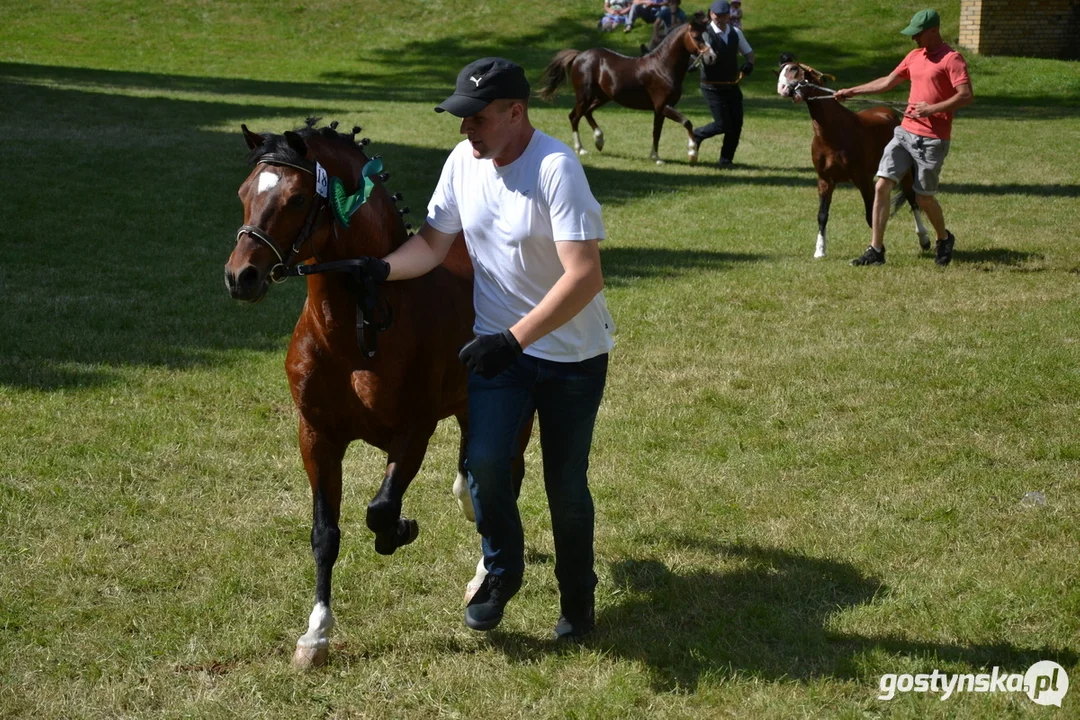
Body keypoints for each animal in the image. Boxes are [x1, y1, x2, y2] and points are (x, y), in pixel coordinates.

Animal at [225, 119, 529, 669]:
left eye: (297, 198)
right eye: (244, 193)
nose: (241, 277)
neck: (358, 328)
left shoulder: (413, 432)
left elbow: (381, 509)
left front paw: (400, 531)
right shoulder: (317, 437)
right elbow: (325, 535)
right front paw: (315, 636)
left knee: (505, 478)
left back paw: (482, 576)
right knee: (473, 475)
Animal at [533, 14, 717, 164]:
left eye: (709, 36)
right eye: (696, 36)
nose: (711, 57)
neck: (662, 66)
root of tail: (580, 55)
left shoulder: (660, 110)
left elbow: (656, 132)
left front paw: (655, 157)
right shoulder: (663, 106)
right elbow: (687, 122)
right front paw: (692, 152)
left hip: (602, 97)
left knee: (587, 113)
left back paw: (599, 141)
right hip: (584, 96)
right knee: (574, 117)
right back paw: (581, 149)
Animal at [773, 61, 933, 259]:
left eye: (794, 69)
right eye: (780, 70)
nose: (782, 88)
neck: (834, 135)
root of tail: (889, 113)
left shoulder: (863, 180)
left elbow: (870, 215)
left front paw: (877, 251)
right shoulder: (825, 181)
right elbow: (822, 215)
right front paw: (820, 250)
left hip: (904, 174)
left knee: (912, 199)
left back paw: (924, 240)